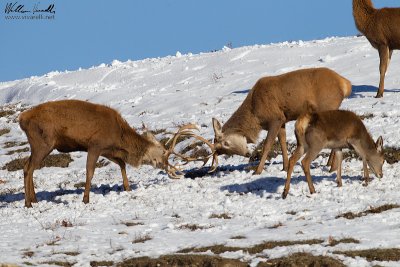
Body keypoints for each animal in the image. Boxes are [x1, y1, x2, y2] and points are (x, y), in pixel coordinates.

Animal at [18, 100, 205, 207]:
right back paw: (28, 203)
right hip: (44, 142)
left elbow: (122, 164)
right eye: (164, 152)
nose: (167, 166)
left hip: (39, 144)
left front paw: (127, 188)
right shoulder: (95, 144)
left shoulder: (107, 150)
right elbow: (90, 172)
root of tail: (22, 119)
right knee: (28, 167)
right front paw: (86, 199)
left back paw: (34, 199)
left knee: (29, 166)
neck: (119, 137)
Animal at [211, 68, 352, 175]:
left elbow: (267, 144)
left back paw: (332, 167)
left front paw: (258, 170)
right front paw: (285, 167)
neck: (255, 116)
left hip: (327, 105)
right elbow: (282, 142)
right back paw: (330, 164)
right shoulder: (282, 119)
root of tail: (345, 84)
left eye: (225, 144)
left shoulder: (275, 118)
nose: (247, 154)